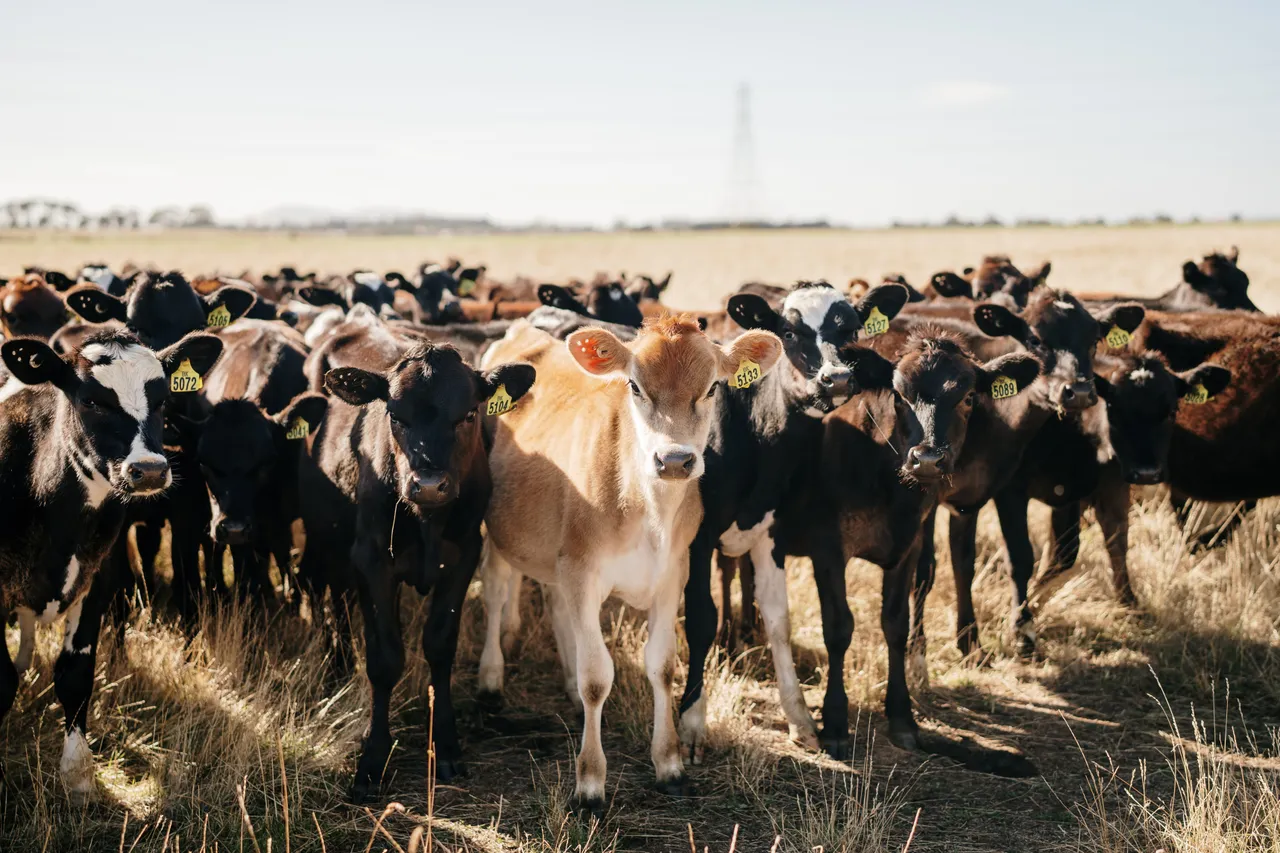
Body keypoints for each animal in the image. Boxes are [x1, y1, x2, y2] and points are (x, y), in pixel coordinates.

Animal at [0, 328, 222, 798]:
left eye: (162, 400)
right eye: (91, 401)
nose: (150, 470)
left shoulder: (97, 578)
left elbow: (75, 674)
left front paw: (78, 774)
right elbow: (1, 680)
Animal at [297, 339, 535, 800]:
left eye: (469, 414)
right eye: (395, 415)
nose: (427, 485)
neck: (426, 521)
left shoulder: (463, 557)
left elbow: (440, 646)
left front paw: (446, 746)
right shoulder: (371, 560)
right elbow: (385, 658)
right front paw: (372, 760)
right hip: (326, 541)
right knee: (327, 593)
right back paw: (336, 665)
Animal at [475, 316, 782, 812]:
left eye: (713, 387)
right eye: (635, 387)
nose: (674, 460)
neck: (648, 511)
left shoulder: (671, 574)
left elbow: (662, 665)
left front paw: (669, 764)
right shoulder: (583, 569)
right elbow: (598, 676)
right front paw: (590, 783)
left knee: (555, 605)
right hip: (499, 530)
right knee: (496, 590)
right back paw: (490, 680)